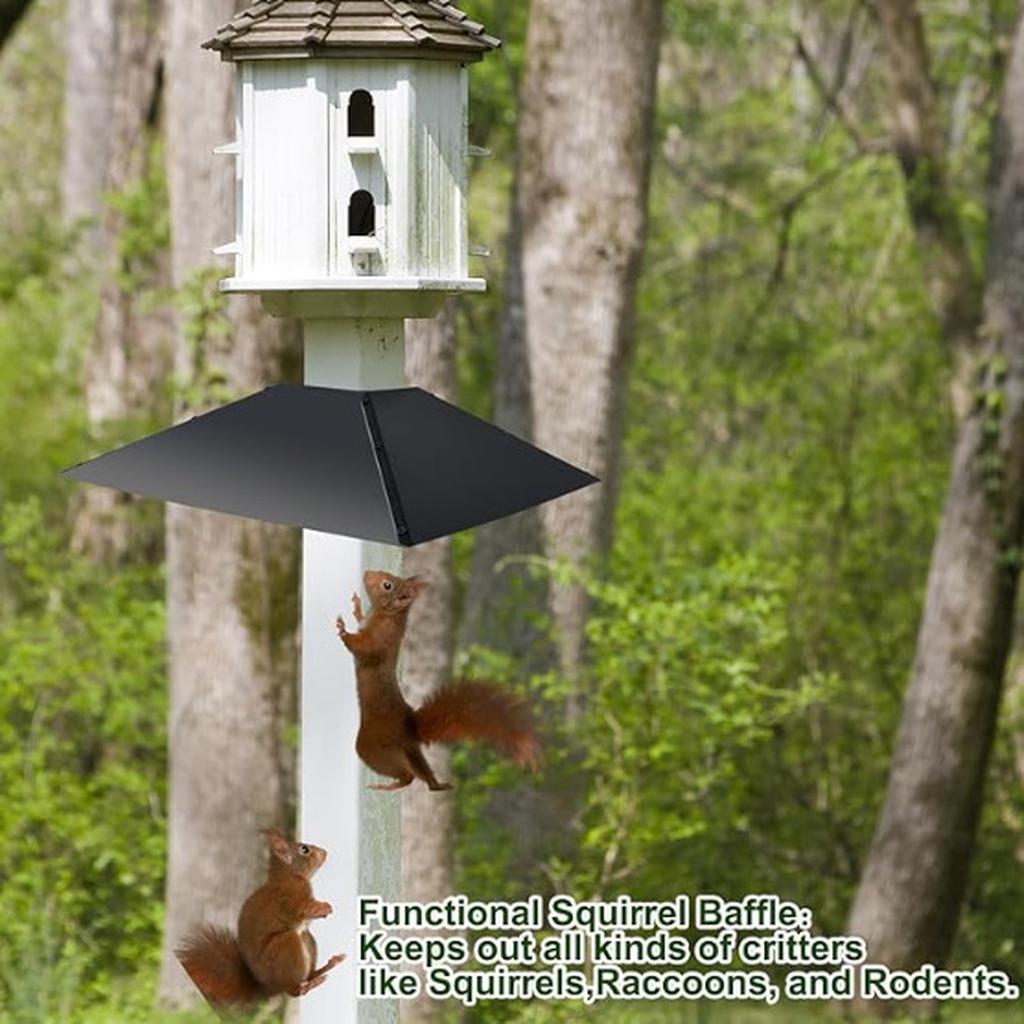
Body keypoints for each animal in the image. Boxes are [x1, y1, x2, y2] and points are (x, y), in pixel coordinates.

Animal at [176, 830, 345, 1013]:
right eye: (304, 849)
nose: (324, 852)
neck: (290, 875)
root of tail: (269, 988)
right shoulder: (292, 898)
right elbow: (304, 909)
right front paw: (324, 907)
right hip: (286, 946)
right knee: (294, 991)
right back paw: (309, 984)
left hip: (307, 939)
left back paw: (325, 969)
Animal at [335, 570, 541, 791]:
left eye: (387, 585)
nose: (367, 573)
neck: (388, 615)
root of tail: (410, 727)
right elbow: (361, 620)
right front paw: (357, 608)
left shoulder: (380, 642)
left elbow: (364, 651)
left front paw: (344, 631)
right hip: (409, 750)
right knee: (422, 774)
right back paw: (437, 785)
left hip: (374, 748)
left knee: (408, 776)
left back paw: (391, 786)